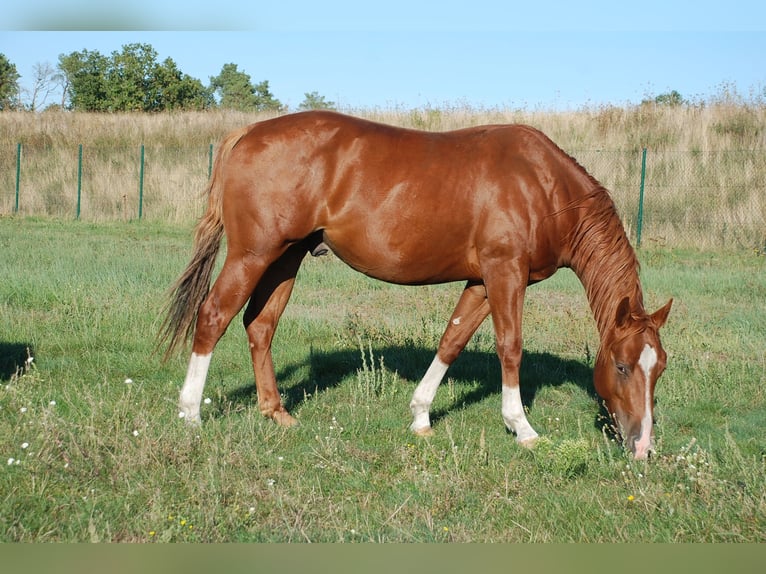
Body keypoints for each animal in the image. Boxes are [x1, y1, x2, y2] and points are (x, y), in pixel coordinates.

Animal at [160, 111, 672, 460]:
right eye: (622, 366)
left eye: (660, 369)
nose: (643, 446)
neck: (543, 188)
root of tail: (249, 132)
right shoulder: (505, 273)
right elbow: (510, 347)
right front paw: (521, 427)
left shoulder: (481, 281)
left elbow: (452, 341)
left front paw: (421, 415)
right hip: (253, 254)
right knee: (214, 316)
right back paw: (190, 414)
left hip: (286, 257)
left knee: (259, 325)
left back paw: (275, 411)